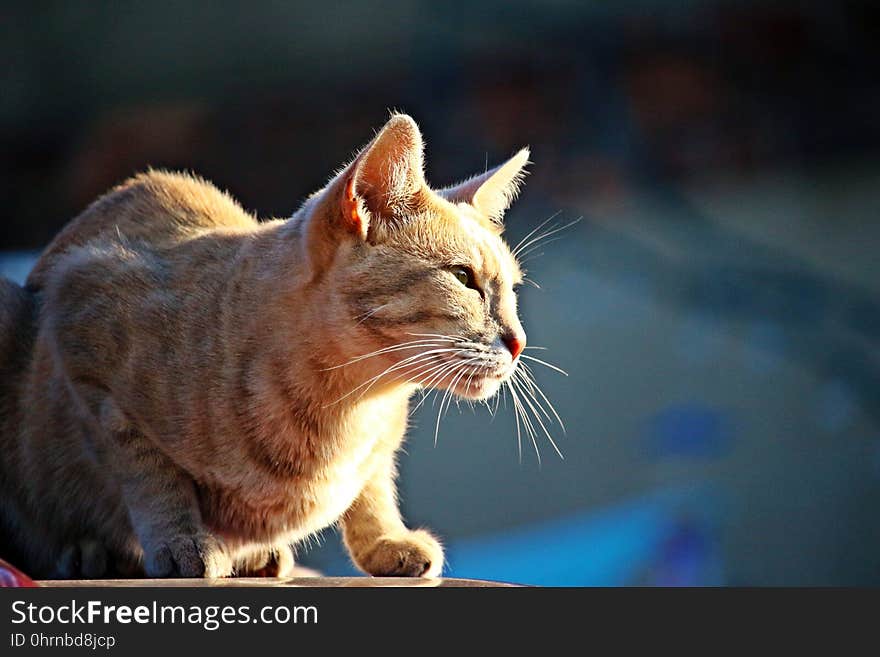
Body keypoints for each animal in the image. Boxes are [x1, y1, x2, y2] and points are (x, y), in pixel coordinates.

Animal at [0, 115, 528, 576]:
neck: (349, 406)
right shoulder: (84, 330)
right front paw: (181, 540)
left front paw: (384, 539)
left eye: (512, 289)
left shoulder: (381, 442)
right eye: (464, 278)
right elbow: (148, 471)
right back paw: (89, 553)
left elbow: (374, 484)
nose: (518, 341)